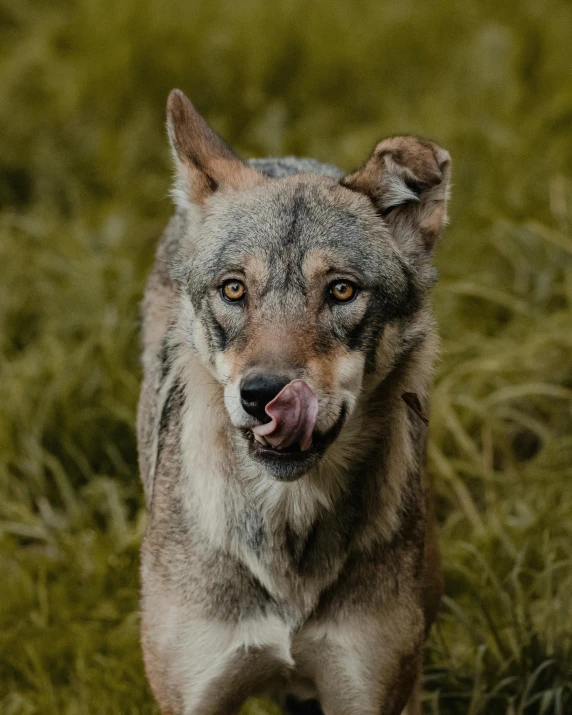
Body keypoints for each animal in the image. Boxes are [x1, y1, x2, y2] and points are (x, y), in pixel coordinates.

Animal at [136, 89, 450, 715]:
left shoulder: (370, 691)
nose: (263, 395)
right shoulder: (193, 696)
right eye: (234, 289)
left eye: (341, 291)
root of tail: (279, 158)